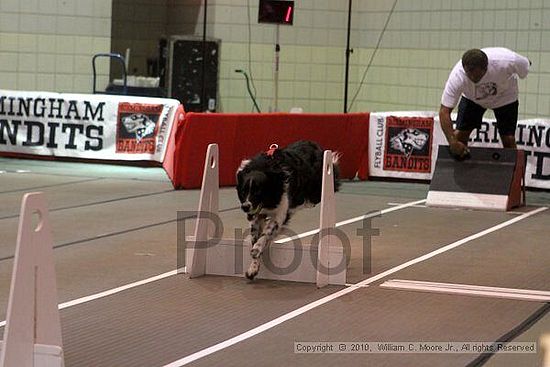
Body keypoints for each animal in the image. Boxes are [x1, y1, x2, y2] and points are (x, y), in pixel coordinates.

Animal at [236, 140, 340, 278]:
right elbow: (255, 235)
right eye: (243, 191)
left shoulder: (281, 211)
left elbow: (267, 231)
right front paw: (253, 268)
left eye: (258, 192)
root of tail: (314, 144)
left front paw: (257, 248)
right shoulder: (256, 215)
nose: (245, 206)